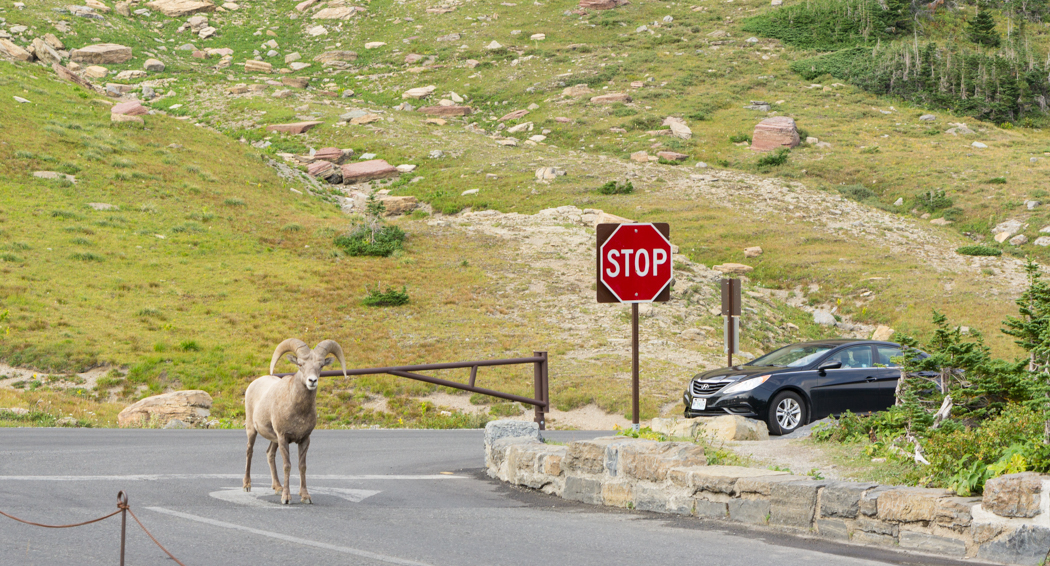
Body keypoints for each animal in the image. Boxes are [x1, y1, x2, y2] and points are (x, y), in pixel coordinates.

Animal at [243, 338, 346, 501]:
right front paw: (286, 498)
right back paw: (247, 485)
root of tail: (253, 384)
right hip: (252, 430)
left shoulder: (304, 439)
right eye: (300, 364)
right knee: (249, 451)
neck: (298, 412)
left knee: (270, 454)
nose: (312, 381)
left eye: (321, 365)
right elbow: (287, 466)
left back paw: (277, 487)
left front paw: (305, 496)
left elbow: (302, 466)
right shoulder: (283, 438)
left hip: (274, 439)